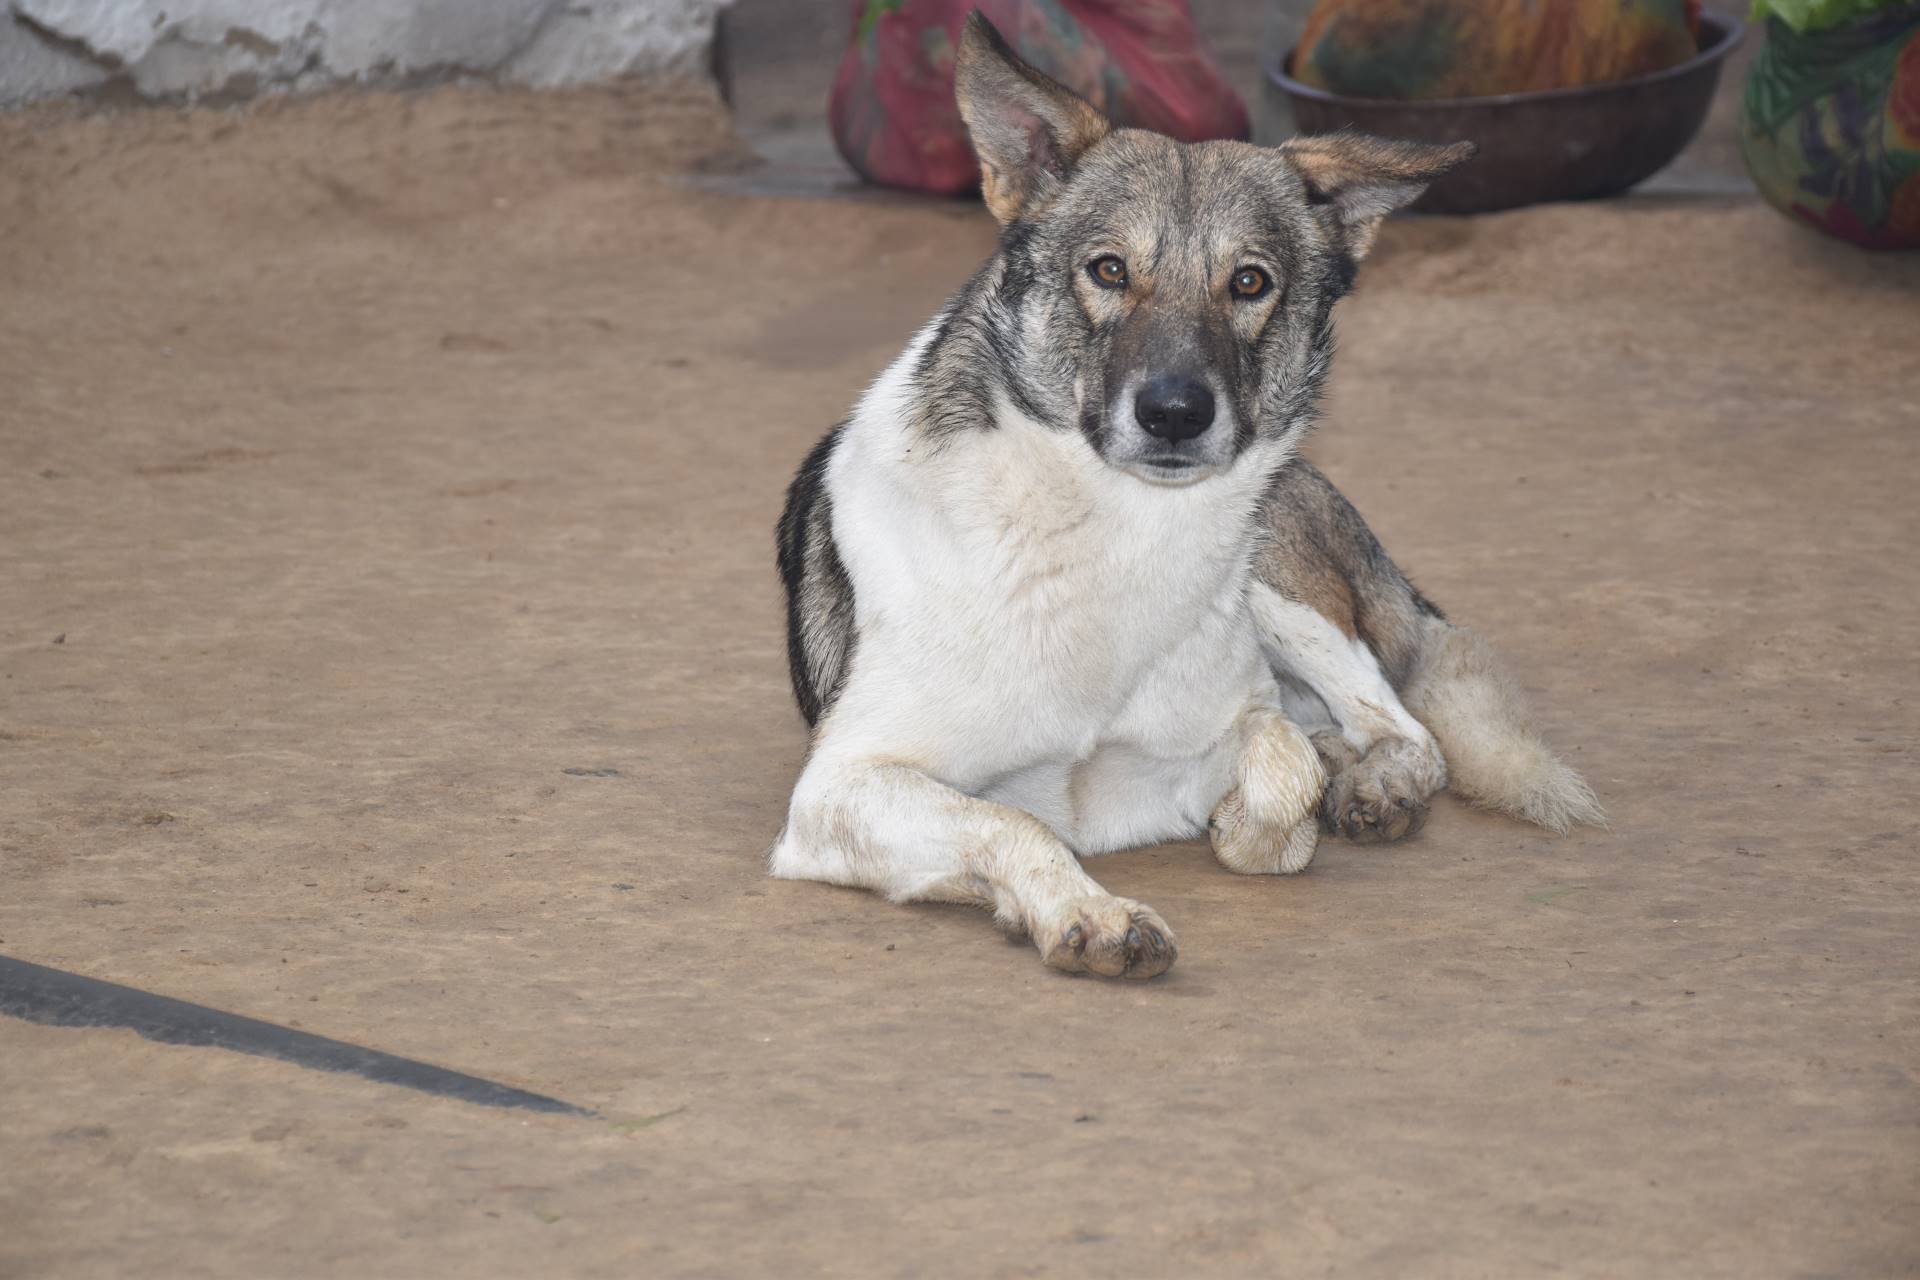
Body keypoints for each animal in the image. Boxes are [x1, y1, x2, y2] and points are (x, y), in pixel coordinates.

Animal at [768, 14, 1605, 982]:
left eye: (1249, 282)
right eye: (1107, 270)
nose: (1174, 414)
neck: (1110, 532)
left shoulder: (1205, 743)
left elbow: (1282, 771)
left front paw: (1258, 814)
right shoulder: (841, 789)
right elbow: (1010, 819)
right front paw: (1084, 913)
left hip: (1281, 580)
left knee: (1403, 729)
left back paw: (1373, 776)